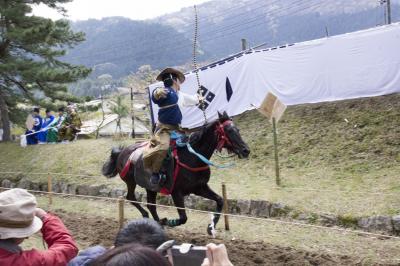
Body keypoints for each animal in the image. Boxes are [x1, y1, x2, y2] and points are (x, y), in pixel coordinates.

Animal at [101, 111, 250, 234]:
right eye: (229, 130)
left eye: (237, 129)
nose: (246, 150)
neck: (193, 157)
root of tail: (123, 152)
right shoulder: (176, 192)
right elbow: (183, 218)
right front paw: (168, 221)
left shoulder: (199, 188)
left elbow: (219, 200)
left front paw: (211, 227)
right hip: (131, 181)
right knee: (131, 197)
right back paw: (152, 218)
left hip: (150, 187)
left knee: (150, 204)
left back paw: (157, 223)